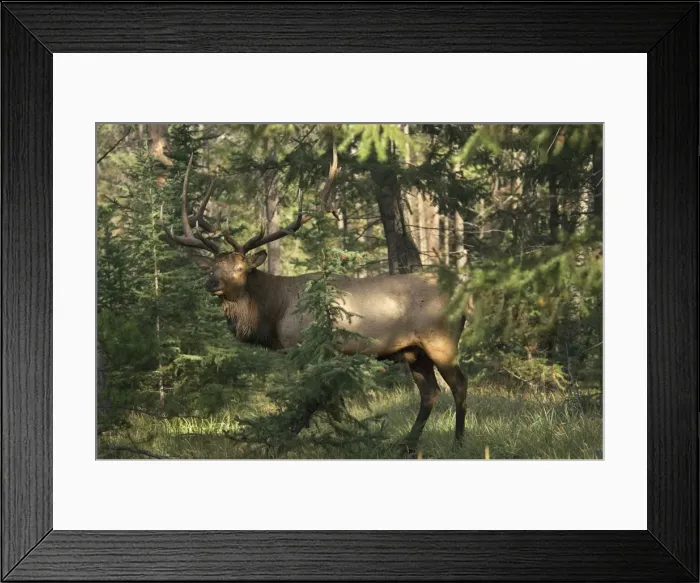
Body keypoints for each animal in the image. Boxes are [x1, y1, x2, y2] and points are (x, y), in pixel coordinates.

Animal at [162, 154, 468, 453]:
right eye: (212, 268)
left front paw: (286, 442)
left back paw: (458, 441)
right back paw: (407, 444)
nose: (211, 283)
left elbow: (315, 401)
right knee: (430, 392)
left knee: (459, 386)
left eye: (239, 268)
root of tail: (464, 302)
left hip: (441, 341)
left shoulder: (307, 349)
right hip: (414, 351)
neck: (273, 313)